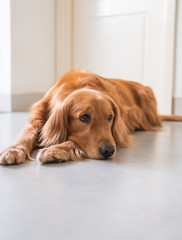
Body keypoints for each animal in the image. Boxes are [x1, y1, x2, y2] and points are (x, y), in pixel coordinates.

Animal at [0, 68, 182, 164]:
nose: (108, 150)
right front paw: (14, 149)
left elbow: (74, 141)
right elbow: (27, 135)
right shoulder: (38, 118)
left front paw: (56, 149)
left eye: (110, 117)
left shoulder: (118, 135)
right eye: (84, 117)